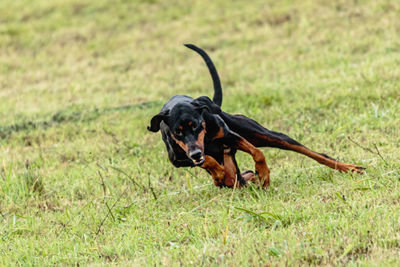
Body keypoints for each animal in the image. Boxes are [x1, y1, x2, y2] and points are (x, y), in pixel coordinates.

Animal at [148, 44, 366, 189]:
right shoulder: (178, 159)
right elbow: (209, 161)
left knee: (313, 153)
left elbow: (257, 153)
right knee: (232, 175)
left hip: (265, 134)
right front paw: (219, 172)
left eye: (195, 125)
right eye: (177, 132)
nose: (195, 153)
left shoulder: (231, 136)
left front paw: (263, 174)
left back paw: (350, 168)